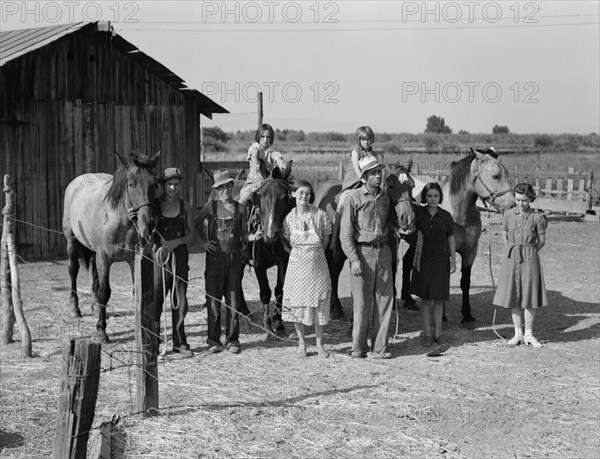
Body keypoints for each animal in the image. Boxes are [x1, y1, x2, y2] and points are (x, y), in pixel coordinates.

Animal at [62, 153, 161, 344]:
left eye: (154, 183)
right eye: (131, 183)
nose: (149, 223)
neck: (120, 220)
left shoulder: (133, 260)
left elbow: (136, 291)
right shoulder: (104, 257)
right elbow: (104, 292)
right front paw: (101, 331)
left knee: (94, 274)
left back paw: (94, 306)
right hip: (72, 242)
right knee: (73, 270)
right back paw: (74, 309)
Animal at [314, 162, 418, 320]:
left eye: (412, 186)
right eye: (391, 185)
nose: (407, 219)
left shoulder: (392, 250)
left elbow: (391, 270)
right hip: (336, 250)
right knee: (334, 271)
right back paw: (336, 309)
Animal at [412, 148, 516, 324]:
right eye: (495, 176)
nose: (512, 206)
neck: (458, 216)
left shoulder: (470, 252)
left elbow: (465, 282)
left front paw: (467, 314)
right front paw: (443, 315)